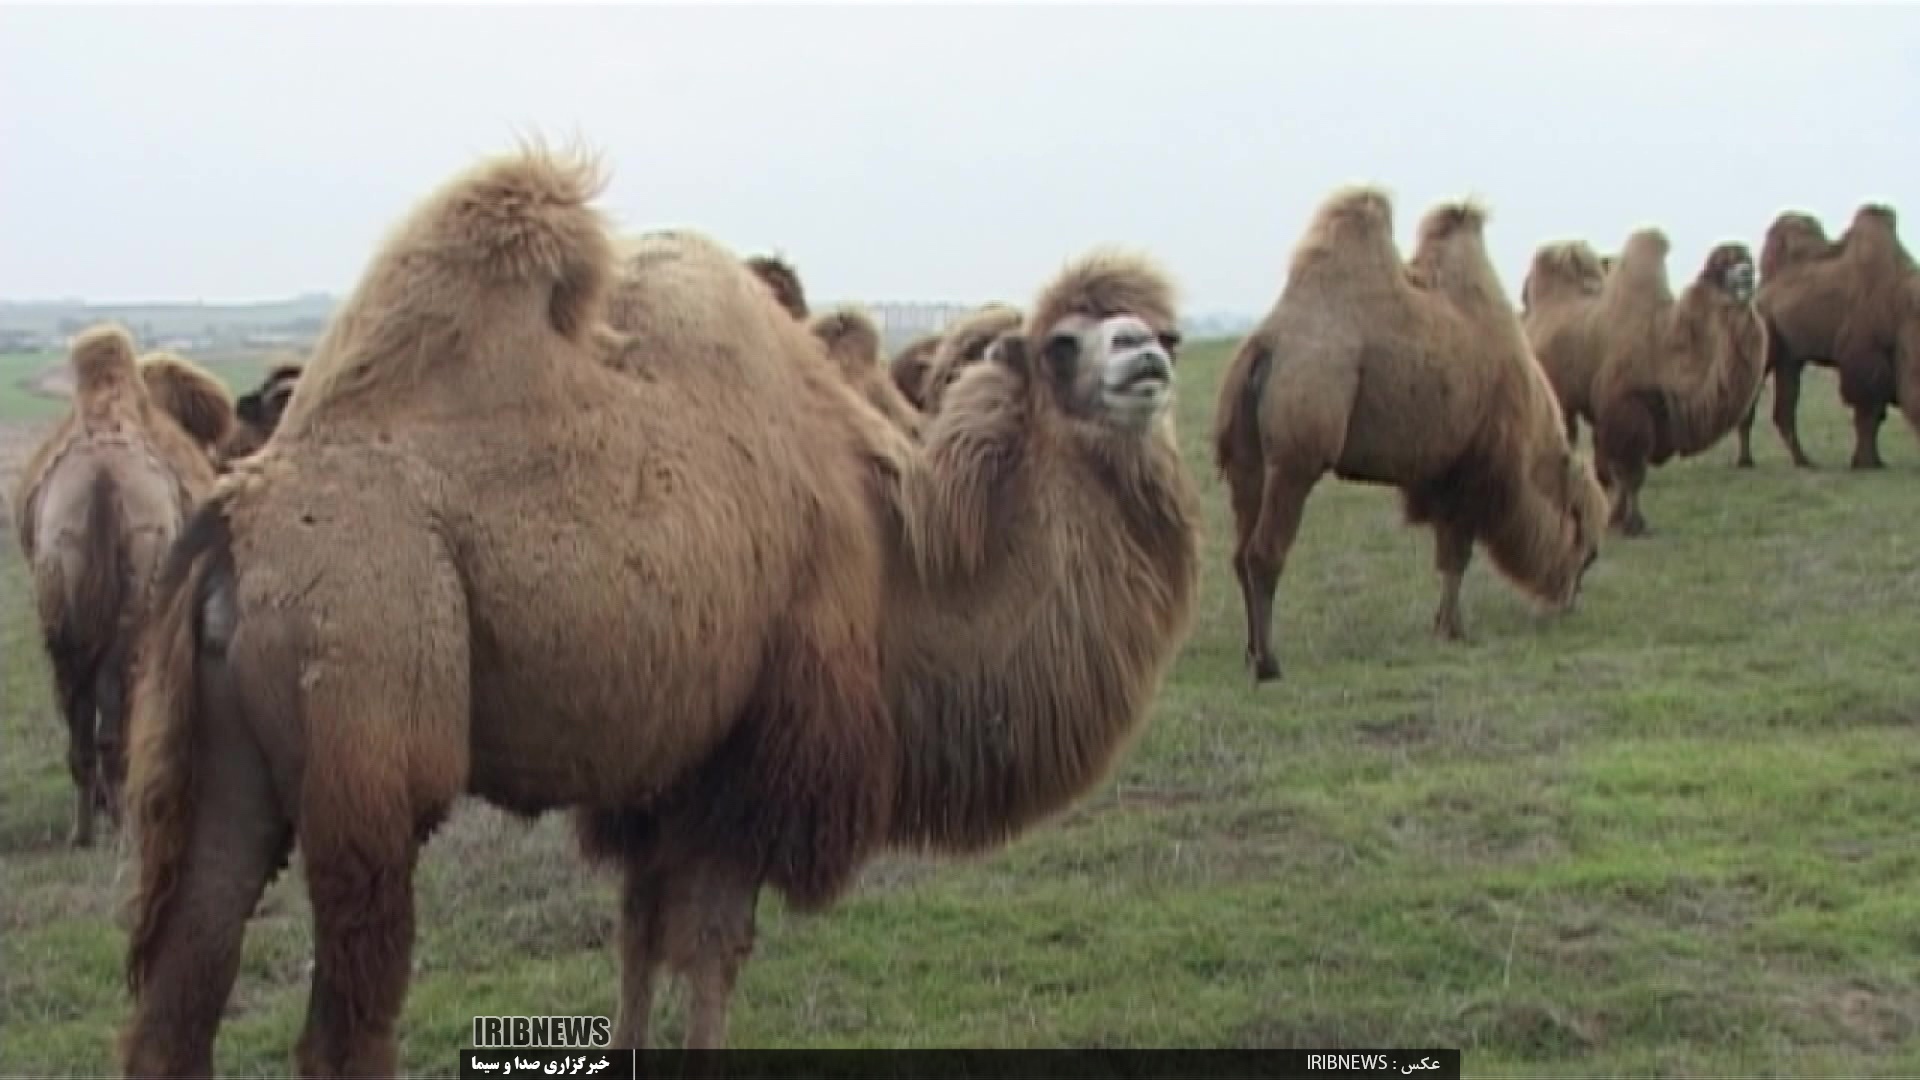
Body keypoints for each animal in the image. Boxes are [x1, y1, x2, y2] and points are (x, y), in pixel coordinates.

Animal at [11, 327, 227, 847]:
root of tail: (102, 481)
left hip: (61, 592)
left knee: (78, 709)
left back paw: (86, 828)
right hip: (139, 592)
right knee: (115, 704)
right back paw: (121, 822)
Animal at [119, 146, 1200, 1076]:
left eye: (1165, 331)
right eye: (1061, 344)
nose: (1145, 357)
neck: (899, 561)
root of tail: (233, 532)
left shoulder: (662, 775)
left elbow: (637, 941)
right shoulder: (754, 763)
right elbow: (714, 951)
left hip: (227, 765)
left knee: (178, 997)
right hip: (370, 735)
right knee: (344, 1026)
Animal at [1212, 188, 1607, 682]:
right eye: (1585, 544)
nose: (1568, 602)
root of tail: (1265, 349)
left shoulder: (1439, 475)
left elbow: (1447, 554)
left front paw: (1443, 626)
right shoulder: (1470, 469)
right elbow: (1457, 555)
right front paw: (1454, 629)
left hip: (1246, 460)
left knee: (1239, 553)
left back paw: (1250, 653)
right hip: (1297, 454)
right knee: (1263, 553)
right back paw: (1269, 663)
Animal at [1588, 241, 1768, 534]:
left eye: (1748, 259)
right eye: (1723, 263)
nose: (1747, 273)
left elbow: (1623, 474)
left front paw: (1618, 520)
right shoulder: (1627, 409)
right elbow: (1629, 475)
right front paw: (1631, 524)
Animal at [1736, 203, 1918, 468]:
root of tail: (1758, 293)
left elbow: (1876, 412)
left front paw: (1875, 460)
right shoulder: (1862, 357)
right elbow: (1868, 412)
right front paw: (1864, 462)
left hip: (1790, 358)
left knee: (1784, 409)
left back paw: (1804, 460)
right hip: (1764, 341)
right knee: (1752, 403)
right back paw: (1746, 461)